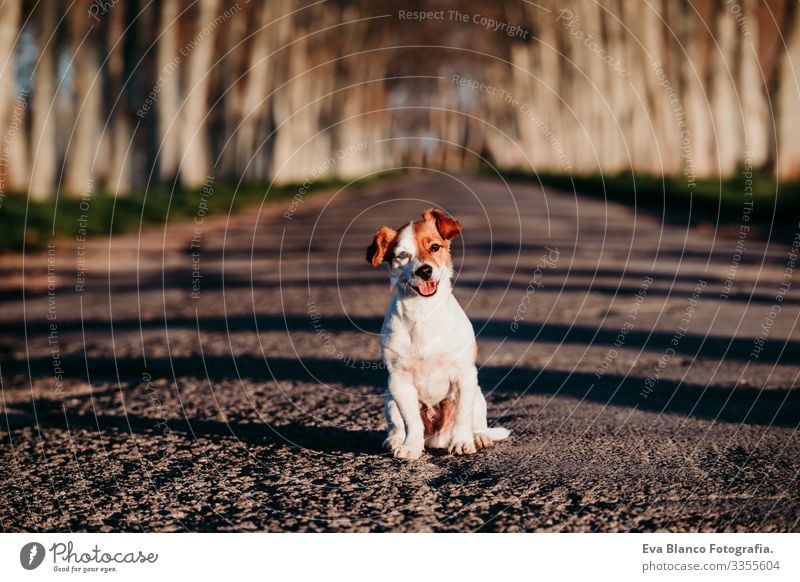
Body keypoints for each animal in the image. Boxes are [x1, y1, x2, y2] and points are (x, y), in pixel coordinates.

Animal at [366, 210, 510, 460]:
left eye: (434, 247)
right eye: (402, 255)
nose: (424, 270)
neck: (424, 313)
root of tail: (437, 439)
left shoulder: (464, 374)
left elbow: (463, 417)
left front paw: (462, 442)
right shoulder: (398, 379)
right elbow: (412, 422)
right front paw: (410, 447)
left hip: (478, 395)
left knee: (477, 423)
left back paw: (479, 437)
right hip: (389, 399)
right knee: (397, 426)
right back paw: (395, 440)